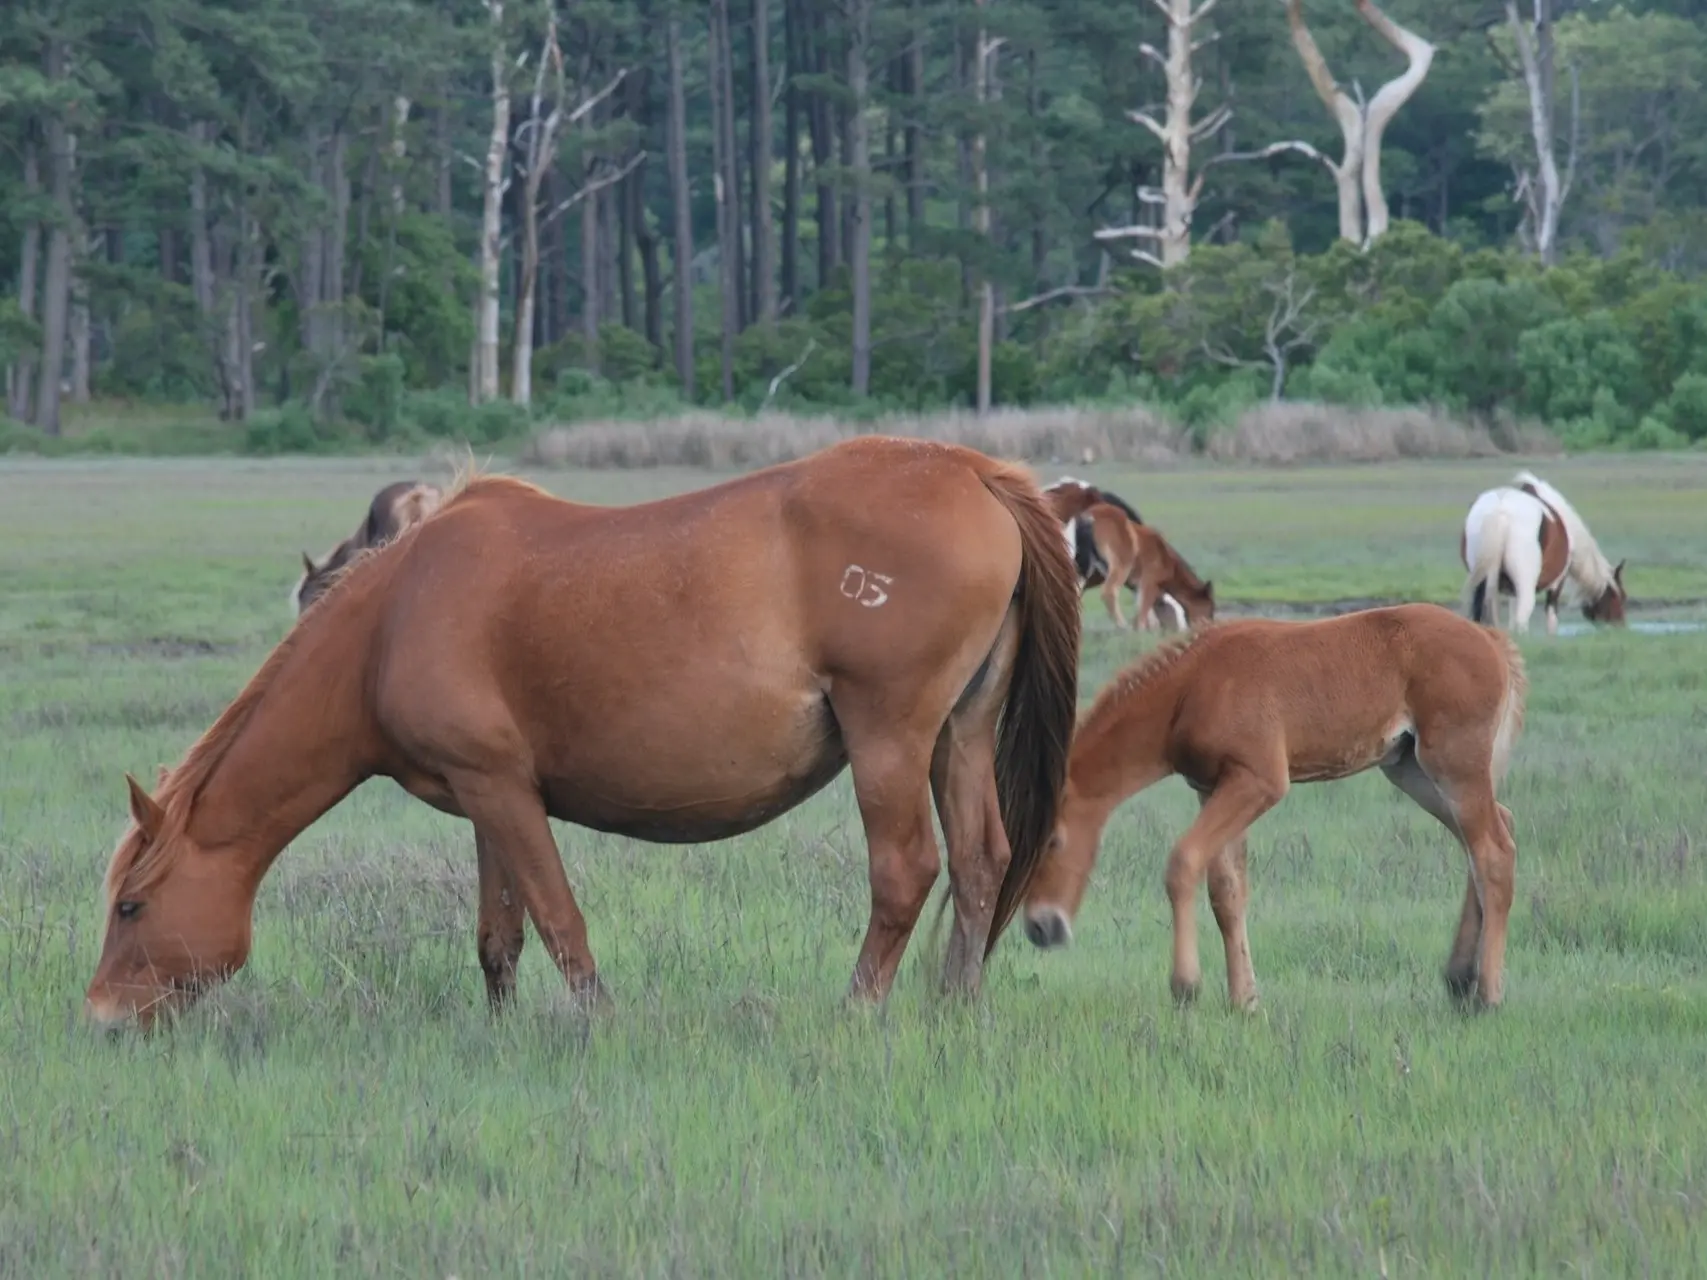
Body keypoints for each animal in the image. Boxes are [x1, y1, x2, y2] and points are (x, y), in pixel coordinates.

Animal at [1017, 607, 1529, 1017]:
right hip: (1411, 769)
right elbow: (1226, 892)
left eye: (1053, 840)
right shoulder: (1212, 787)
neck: (1192, 685)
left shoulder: (1258, 781)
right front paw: (1245, 1000)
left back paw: (1487, 994)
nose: (1040, 927)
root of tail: (1492, 640)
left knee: (1493, 851)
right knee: (1493, 829)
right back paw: (1459, 978)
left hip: (1453, 763)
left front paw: (1186, 986)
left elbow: (1183, 861)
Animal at [1461, 471, 1618, 638]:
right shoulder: (1557, 582)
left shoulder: (1511, 590)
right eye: (1617, 596)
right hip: (1525, 585)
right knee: (1523, 615)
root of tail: (1500, 511)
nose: (1619, 626)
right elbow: (1551, 618)